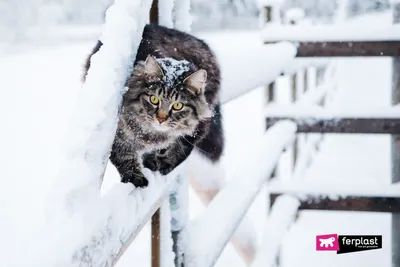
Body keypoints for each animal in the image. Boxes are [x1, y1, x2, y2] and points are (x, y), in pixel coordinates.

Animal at [82, 24, 223, 188]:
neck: (149, 133)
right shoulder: (116, 134)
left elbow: (180, 148)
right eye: (154, 99)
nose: (161, 119)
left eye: (178, 106)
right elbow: (124, 156)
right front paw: (134, 177)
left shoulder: (192, 130)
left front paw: (163, 162)